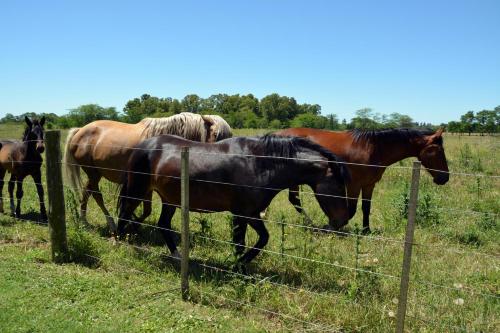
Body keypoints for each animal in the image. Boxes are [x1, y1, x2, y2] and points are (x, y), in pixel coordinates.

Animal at [63, 113, 232, 232]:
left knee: (87, 192)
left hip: (95, 174)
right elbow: (146, 210)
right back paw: (108, 223)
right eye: (216, 136)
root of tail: (80, 131)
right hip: (92, 172)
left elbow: (147, 211)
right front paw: (131, 223)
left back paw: (85, 221)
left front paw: (133, 223)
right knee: (96, 195)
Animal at [117, 134, 352, 266]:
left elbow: (262, 239)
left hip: (170, 199)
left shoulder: (252, 213)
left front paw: (241, 265)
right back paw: (118, 241)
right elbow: (241, 243)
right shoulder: (241, 213)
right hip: (138, 191)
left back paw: (177, 257)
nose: (343, 220)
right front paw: (237, 266)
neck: (259, 163)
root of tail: (143, 146)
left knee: (163, 224)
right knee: (125, 213)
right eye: (340, 185)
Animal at [274, 126, 450, 232]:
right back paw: (311, 224)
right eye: (437, 151)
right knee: (295, 200)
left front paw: (366, 230)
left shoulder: (368, 185)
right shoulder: (354, 185)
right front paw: (334, 227)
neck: (374, 149)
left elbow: (366, 208)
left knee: (294, 199)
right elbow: (350, 210)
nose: (445, 178)